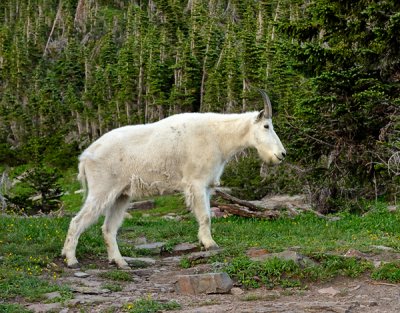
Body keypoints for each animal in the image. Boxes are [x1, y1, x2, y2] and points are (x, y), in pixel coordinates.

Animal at [62, 90, 286, 268]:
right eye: (266, 126)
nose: (282, 154)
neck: (219, 136)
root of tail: (85, 156)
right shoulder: (196, 183)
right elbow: (205, 216)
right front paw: (211, 244)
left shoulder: (206, 187)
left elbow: (207, 215)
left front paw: (204, 242)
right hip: (102, 190)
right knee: (77, 222)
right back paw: (71, 260)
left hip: (121, 196)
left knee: (108, 229)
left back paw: (120, 262)